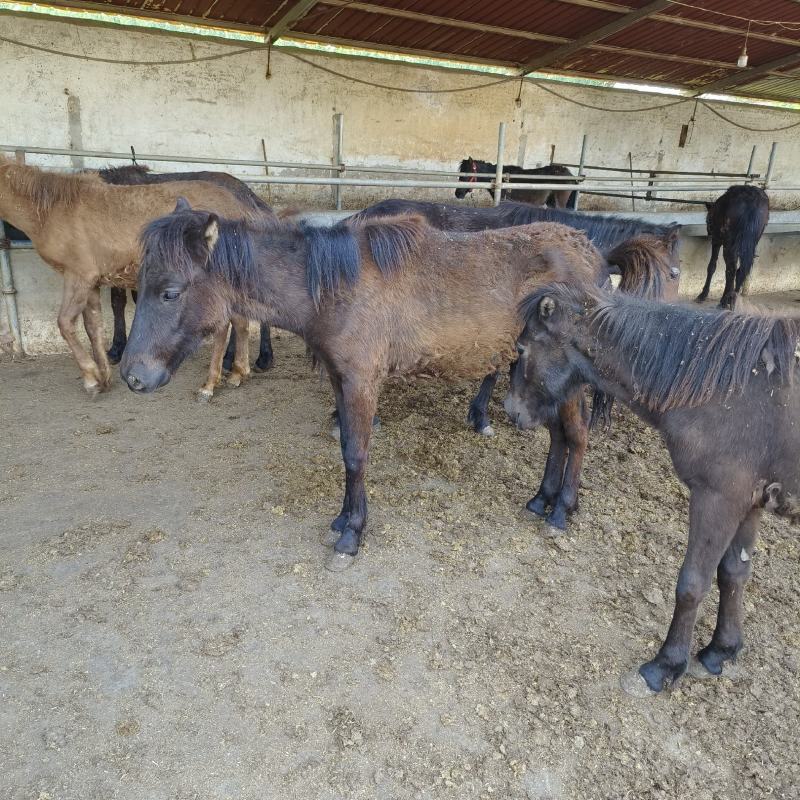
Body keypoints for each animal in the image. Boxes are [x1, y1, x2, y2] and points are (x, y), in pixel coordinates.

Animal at [120, 199, 615, 570]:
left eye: (170, 292)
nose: (132, 376)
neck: (336, 288)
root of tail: (592, 256)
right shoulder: (340, 379)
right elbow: (345, 451)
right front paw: (341, 521)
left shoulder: (361, 382)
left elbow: (357, 455)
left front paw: (352, 536)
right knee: (559, 435)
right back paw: (540, 499)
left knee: (577, 434)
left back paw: (561, 510)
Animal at [504, 283, 799, 692]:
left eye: (521, 348)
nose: (510, 409)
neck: (727, 389)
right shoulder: (749, 502)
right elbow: (733, 573)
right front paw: (721, 650)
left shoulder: (718, 499)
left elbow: (692, 584)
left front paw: (666, 665)